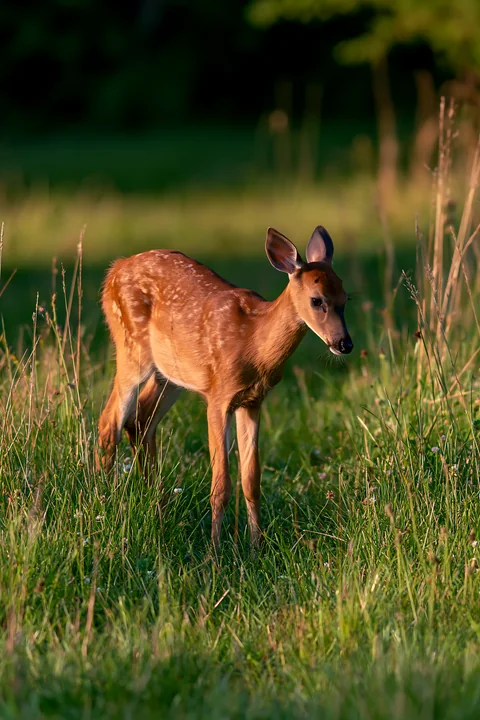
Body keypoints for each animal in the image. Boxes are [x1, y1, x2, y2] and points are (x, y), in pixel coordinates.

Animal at [96, 226, 353, 547]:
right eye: (317, 300)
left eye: (346, 297)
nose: (344, 344)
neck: (254, 343)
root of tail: (113, 270)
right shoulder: (218, 396)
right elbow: (221, 484)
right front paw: (215, 549)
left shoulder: (252, 400)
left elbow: (251, 479)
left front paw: (257, 545)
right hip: (131, 348)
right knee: (110, 421)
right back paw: (106, 498)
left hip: (169, 374)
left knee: (141, 418)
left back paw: (156, 503)